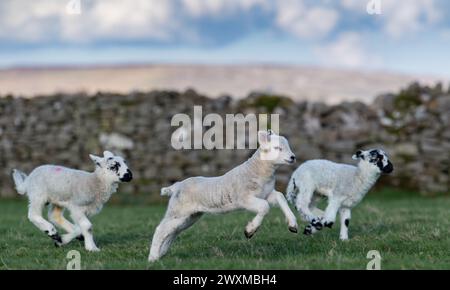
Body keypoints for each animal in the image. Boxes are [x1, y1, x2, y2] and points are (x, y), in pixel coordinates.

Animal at [148, 130, 300, 262]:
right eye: (277, 148)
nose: (293, 157)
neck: (260, 170)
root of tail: (176, 186)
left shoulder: (266, 193)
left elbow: (280, 197)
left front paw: (293, 225)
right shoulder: (244, 198)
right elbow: (264, 207)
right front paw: (249, 231)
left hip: (190, 216)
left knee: (172, 232)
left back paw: (161, 253)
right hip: (178, 211)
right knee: (160, 230)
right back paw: (153, 258)